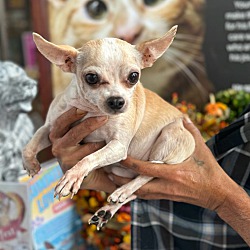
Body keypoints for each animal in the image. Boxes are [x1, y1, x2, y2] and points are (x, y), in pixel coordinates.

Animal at [22, 26, 195, 229]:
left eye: (134, 76)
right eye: (91, 78)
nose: (117, 101)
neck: (91, 110)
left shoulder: (118, 146)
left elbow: (89, 158)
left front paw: (72, 176)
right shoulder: (51, 126)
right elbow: (30, 145)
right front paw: (30, 164)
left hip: (169, 138)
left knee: (150, 173)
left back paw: (123, 190)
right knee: (139, 192)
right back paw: (109, 209)